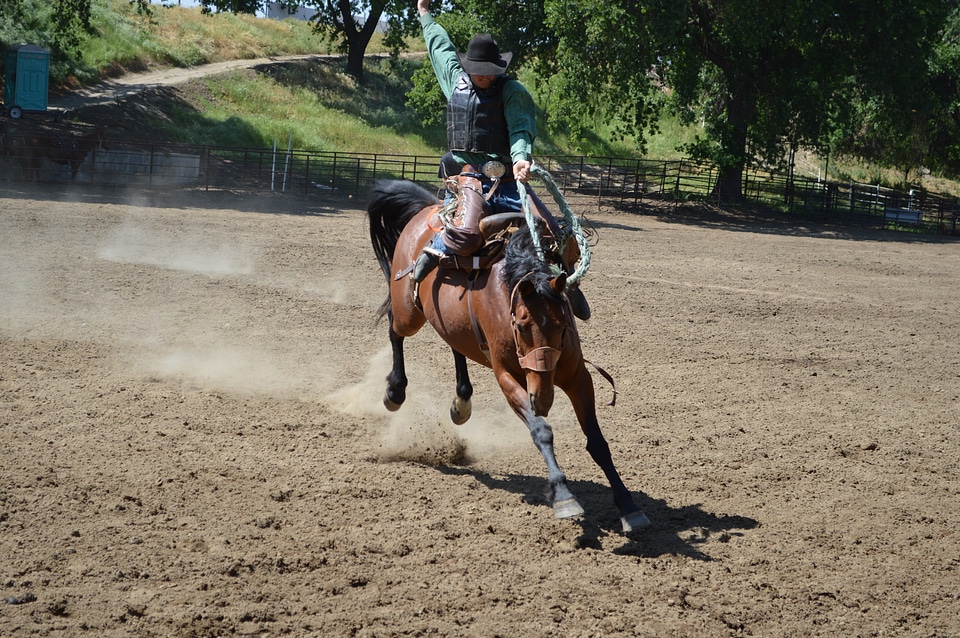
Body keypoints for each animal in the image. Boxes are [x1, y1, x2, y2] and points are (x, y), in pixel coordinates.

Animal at [368, 171, 652, 536]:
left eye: (563, 324)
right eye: (519, 325)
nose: (542, 397)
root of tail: (427, 210)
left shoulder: (577, 375)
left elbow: (598, 442)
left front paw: (629, 506)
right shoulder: (507, 377)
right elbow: (541, 431)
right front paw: (563, 496)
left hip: (447, 320)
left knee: (454, 345)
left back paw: (461, 402)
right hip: (409, 311)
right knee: (394, 329)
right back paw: (395, 391)